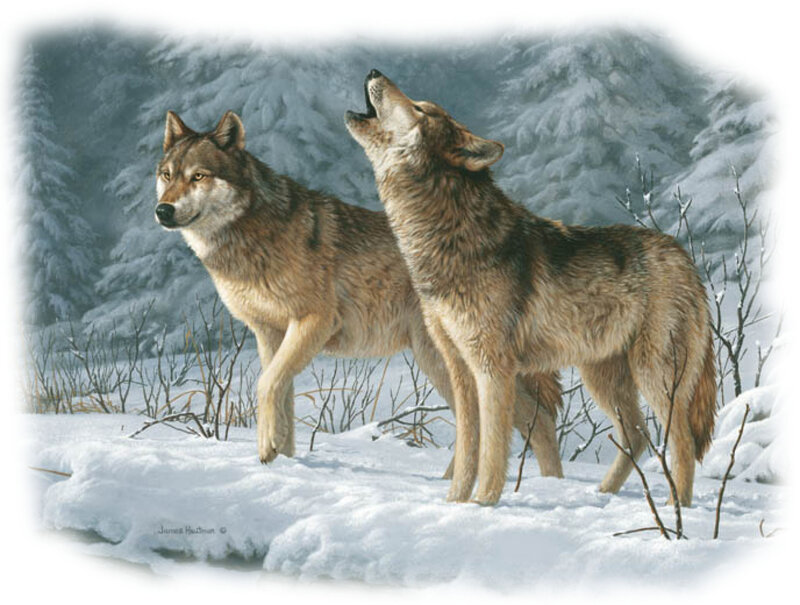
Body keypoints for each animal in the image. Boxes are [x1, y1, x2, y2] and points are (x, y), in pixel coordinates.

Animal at [155, 110, 564, 478]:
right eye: (167, 175)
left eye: (199, 176)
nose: (163, 211)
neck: (250, 239)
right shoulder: (270, 334)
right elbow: (282, 399)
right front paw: (282, 459)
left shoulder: (314, 321)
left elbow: (266, 385)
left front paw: (270, 451)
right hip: (441, 361)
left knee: (537, 421)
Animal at [345, 70, 716, 506]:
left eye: (421, 108)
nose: (373, 72)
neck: (446, 239)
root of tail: (685, 257)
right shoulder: (460, 369)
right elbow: (467, 448)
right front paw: (455, 504)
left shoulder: (494, 370)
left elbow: (493, 449)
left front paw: (483, 504)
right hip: (603, 378)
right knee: (637, 436)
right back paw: (601, 495)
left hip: (654, 375)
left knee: (681, 442)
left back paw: (677, 510)